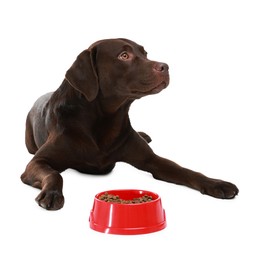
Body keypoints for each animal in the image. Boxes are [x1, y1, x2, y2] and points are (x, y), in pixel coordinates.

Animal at [20, 38, 238, 209]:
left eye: (145, 53)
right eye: (124, 55)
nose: (165, 66)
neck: (105, 118)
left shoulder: (151, 160)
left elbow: (185, 170)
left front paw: (216, 183)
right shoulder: (38, 162)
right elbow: (54, 175)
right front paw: (52, 194)